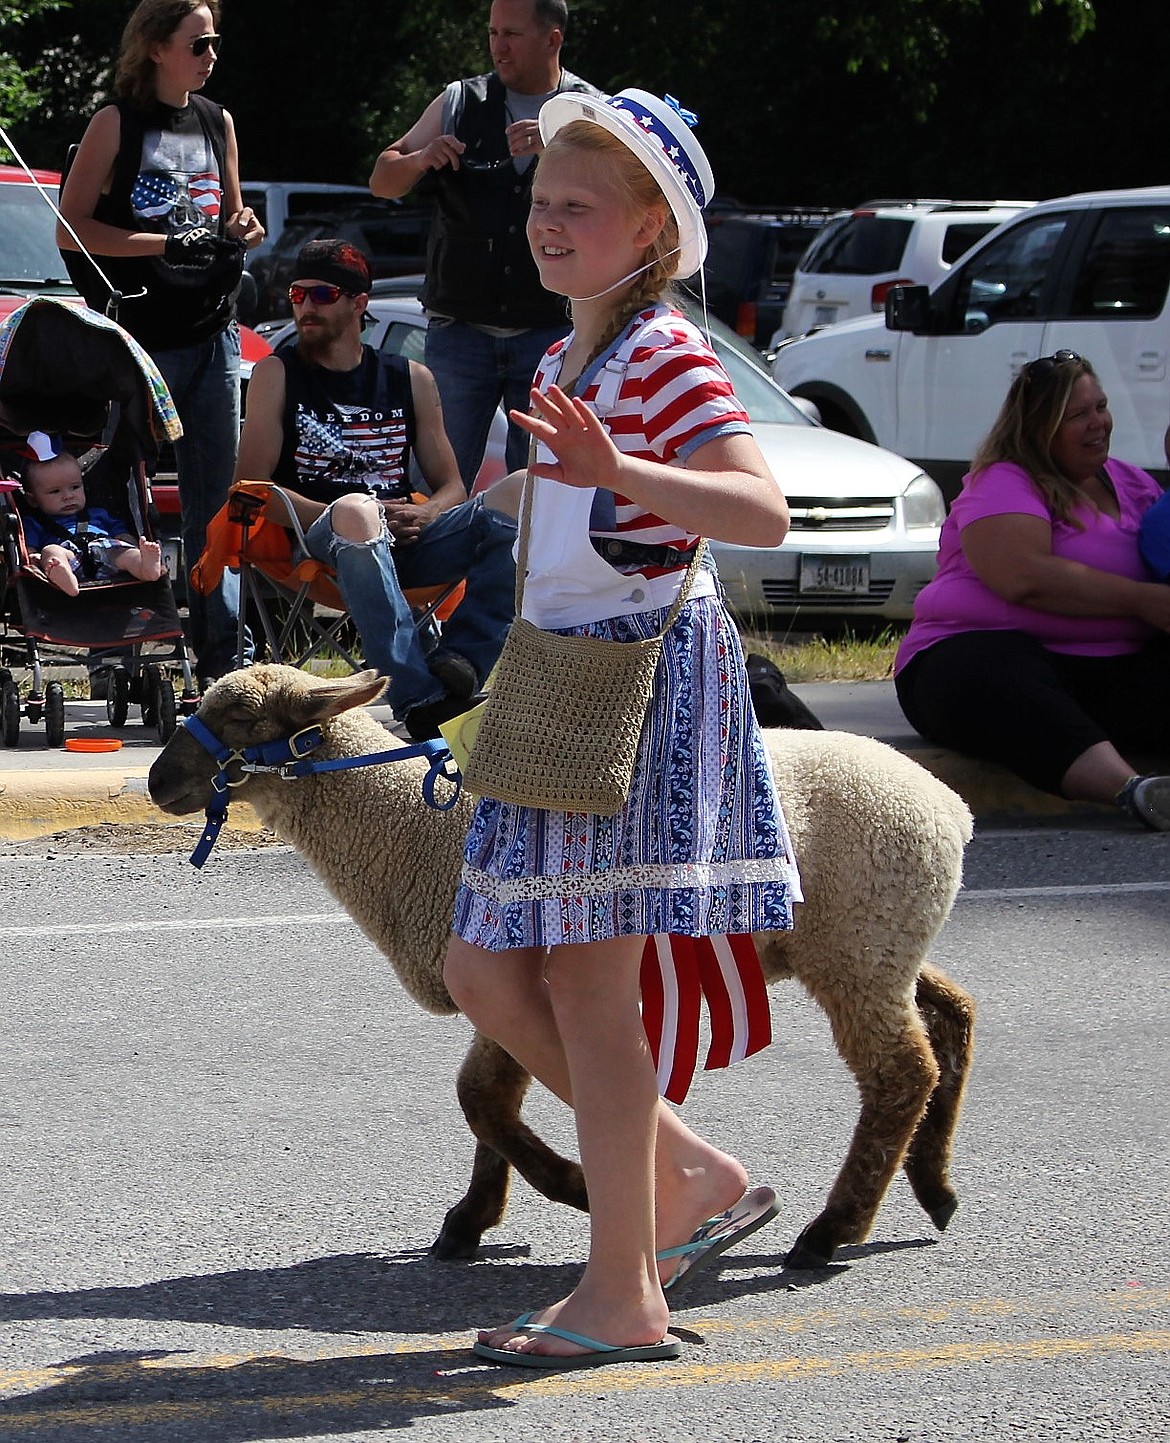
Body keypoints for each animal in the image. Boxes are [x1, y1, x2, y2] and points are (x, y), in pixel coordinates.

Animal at [148, 666, 981, 1275]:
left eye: (244, 715)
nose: (156, 781)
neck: (405, 823)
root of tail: (951, 806)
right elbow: (486, 1101)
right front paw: (471, 1220)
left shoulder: (507, 968)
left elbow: (482, 1100)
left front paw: (572, 1189)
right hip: (879, 940)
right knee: (952, 1015)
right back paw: (935, 1185)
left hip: (859, 942)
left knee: (900, 1073)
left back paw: (830, 1231)